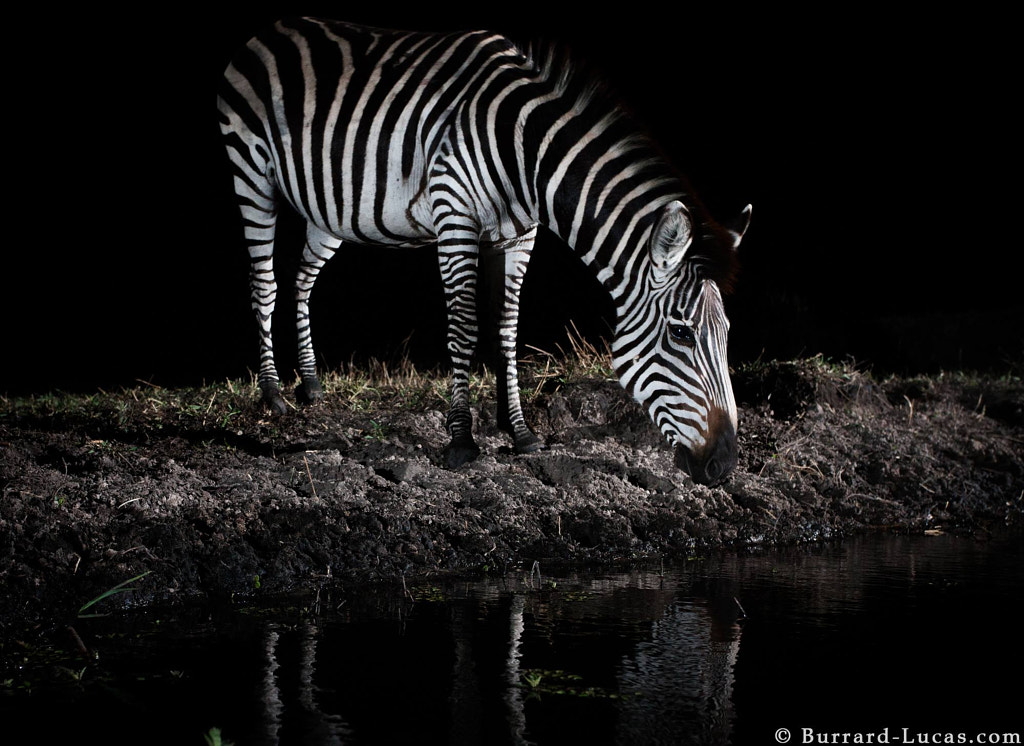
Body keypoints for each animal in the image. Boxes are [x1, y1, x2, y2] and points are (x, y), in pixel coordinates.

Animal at [216, 18, 749, 483]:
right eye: (680, 333)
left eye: (726, 333)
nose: (724, 466)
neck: (526, 157)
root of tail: (274, 28)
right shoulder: (454, 217)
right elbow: (465, 328)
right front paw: (461, 440)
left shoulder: (519, 236)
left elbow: (507, 329)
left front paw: (519, 431)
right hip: (251, 174)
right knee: (265, 281)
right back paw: (273, 394)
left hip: (333, 206)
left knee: (303, 276)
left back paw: (309, 384)